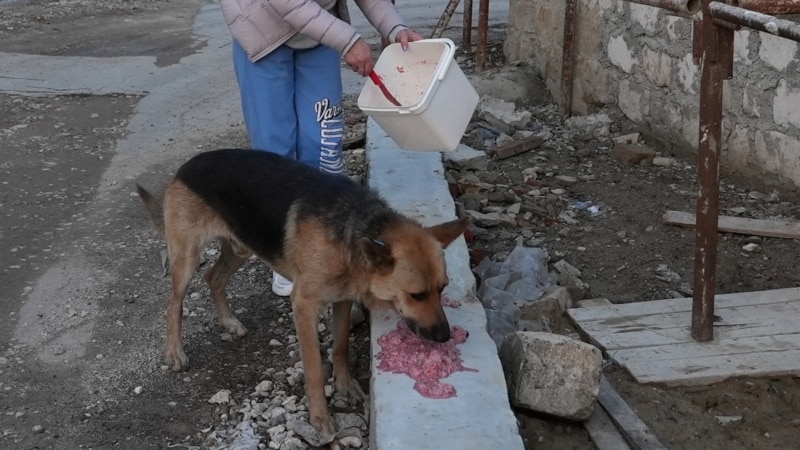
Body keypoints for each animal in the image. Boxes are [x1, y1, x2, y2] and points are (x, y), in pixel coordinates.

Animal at [134, 149, 466, 434]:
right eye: (417, 295)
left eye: (442, 288)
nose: (444, 337)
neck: (355, 229)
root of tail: (185, 167)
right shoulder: (304, 306)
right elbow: (315, 368)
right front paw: (320, 417)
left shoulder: (343, 299)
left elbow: (341, 345)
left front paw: (344, 384)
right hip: (186, 258)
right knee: (174, 303)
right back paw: (175, 352)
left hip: (241, 246)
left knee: (213, 277)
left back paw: (228, 321)